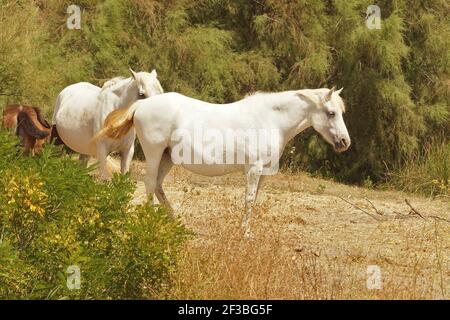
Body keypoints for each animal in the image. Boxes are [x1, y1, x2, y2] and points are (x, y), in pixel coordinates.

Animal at [96, 86, 352, 236]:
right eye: (331, 113)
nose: (344, 142)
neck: (270, 119)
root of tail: (142, 104)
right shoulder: (253, 168)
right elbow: (248, 199)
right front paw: (245, 233)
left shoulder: (263, 172)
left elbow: (254, 199)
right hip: (154, 153)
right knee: (149, 184)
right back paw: (152, 223)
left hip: (168, 157)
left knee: (157, 186)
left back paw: (175, 222)